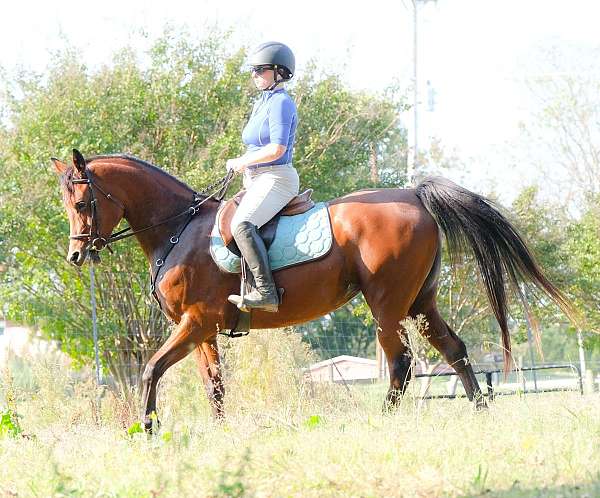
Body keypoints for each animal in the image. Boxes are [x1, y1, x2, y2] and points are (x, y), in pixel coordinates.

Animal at [51, 147, 572, 428]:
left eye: (82, 202)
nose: (77, 256)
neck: (178, 229)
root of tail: (413, 195)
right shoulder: (201, 330)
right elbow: (213, 384)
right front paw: (219, 431)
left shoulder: (195, 321)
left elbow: (150, 370)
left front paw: (148, 428)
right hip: (421, 302)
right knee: (454, 349)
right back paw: (481, 410)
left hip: (386, 304)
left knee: (401, 363)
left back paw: (383, 420)